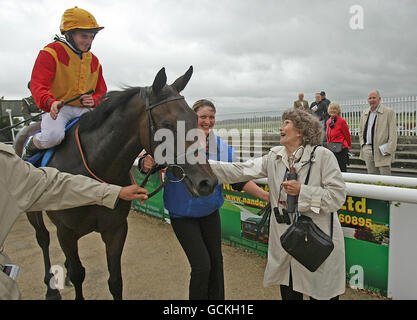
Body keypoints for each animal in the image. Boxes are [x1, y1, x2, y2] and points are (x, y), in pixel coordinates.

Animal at [13, 66, 218, 298]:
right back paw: (51, 288)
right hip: (33, 209)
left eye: (195, 119)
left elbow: (115, 281)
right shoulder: (65, 231)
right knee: (43, 238)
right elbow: (78, 273)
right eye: (167, 124)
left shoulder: (115, 229)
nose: (207, 182)